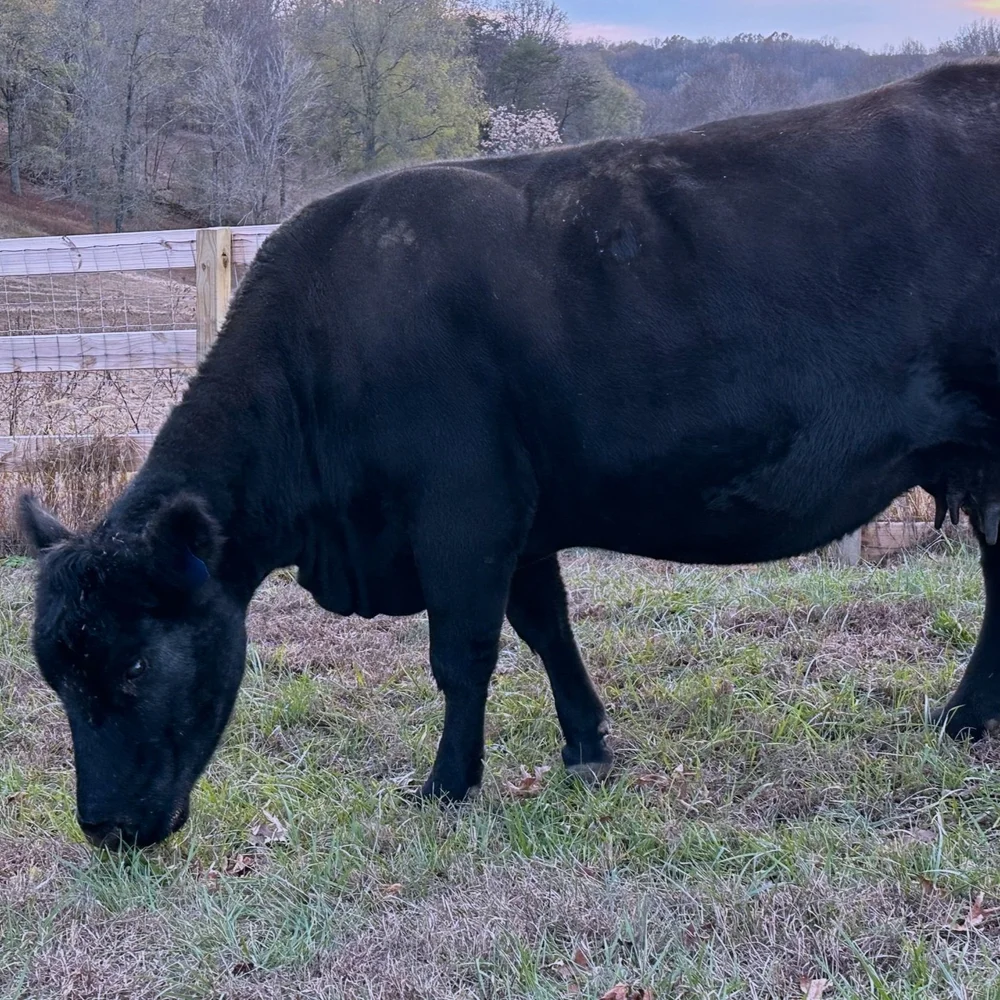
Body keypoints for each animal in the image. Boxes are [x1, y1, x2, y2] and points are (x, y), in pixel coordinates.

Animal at [16, 59, 1000, 849]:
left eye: (135, 666)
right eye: (55, 676)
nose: (104, 828)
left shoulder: (466, 511)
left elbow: (463, 654)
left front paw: (447, 784)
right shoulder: (521, 524)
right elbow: (547, 628)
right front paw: (587, 746)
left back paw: (961, 718)